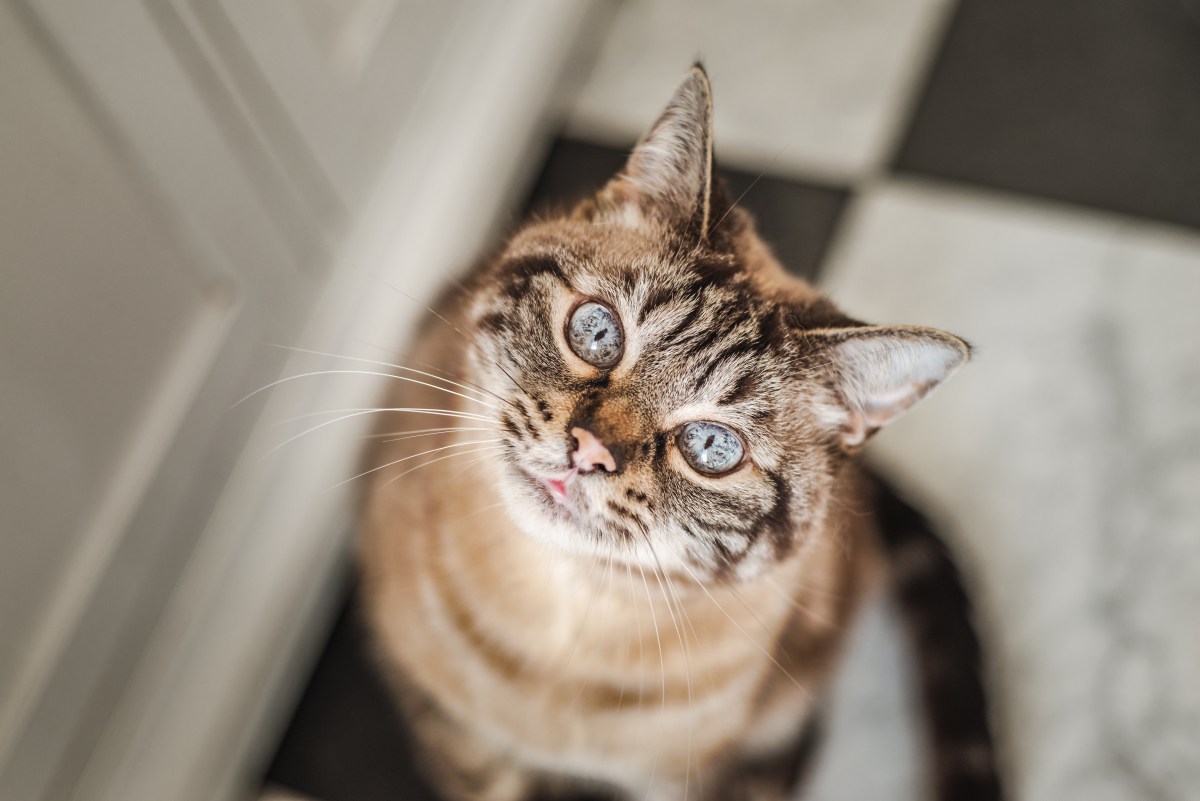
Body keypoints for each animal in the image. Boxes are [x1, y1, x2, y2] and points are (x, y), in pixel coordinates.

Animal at [357, 64, 1003, 801]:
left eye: (711, 448)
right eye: (597, 332)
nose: (589, 451)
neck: (566, 625)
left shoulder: (688, 780)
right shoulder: (457, 737)